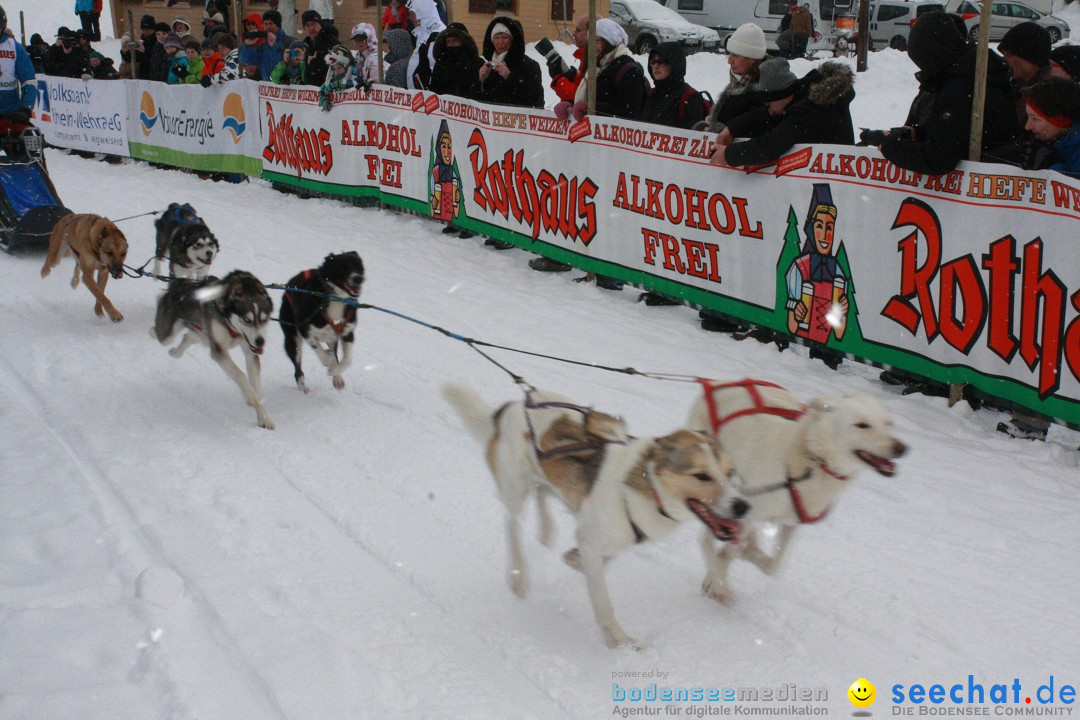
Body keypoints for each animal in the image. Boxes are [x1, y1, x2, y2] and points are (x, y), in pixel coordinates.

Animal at [154, 269, 276, 427]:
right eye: (246, 320)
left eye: (264, 319)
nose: (260, 341)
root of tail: (177, 284)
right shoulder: (219, 351)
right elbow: (241, 375)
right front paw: (252, 397)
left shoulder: (250, 353)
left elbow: (256, 386)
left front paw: (264, 418)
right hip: (167, 335)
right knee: (156, 331)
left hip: (200, 333)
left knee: (188, 337)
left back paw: (176, 351)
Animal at [276, 250, 365, 390]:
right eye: (343, 267)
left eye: (359, 266)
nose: (358, 278)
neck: (336, 298)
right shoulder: (305, 329)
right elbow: (320, 351)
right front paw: (329, 361)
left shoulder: (347, 332)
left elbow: (347, 359)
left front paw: (335, 370)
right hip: (292, 338)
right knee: (297, 368)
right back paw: (302, 387)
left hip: (331, 337)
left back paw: (337, 377)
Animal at [442, 386, 747, 651]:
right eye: (702, 476)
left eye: (731, 472)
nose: (743, 506)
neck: (646, 487)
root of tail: (514, 405)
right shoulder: (594, 540)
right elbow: (602, 600)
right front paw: (620, 641)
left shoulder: (607, 539)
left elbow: (595, 557)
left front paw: (573, 558)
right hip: (515, 486)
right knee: (512, 523)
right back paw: (518, 575)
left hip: (548, 477)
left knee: (542, 492)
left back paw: (546, 530)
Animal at [686, 379, 907, 604]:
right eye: (862, 425)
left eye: (889, 423)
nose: (902, 448)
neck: (813, 461)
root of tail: (719, 383)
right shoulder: (746, 510)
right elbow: (720, 551)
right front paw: (719, 585)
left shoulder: (791, 524)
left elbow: (773, 566)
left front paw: (746, 555)